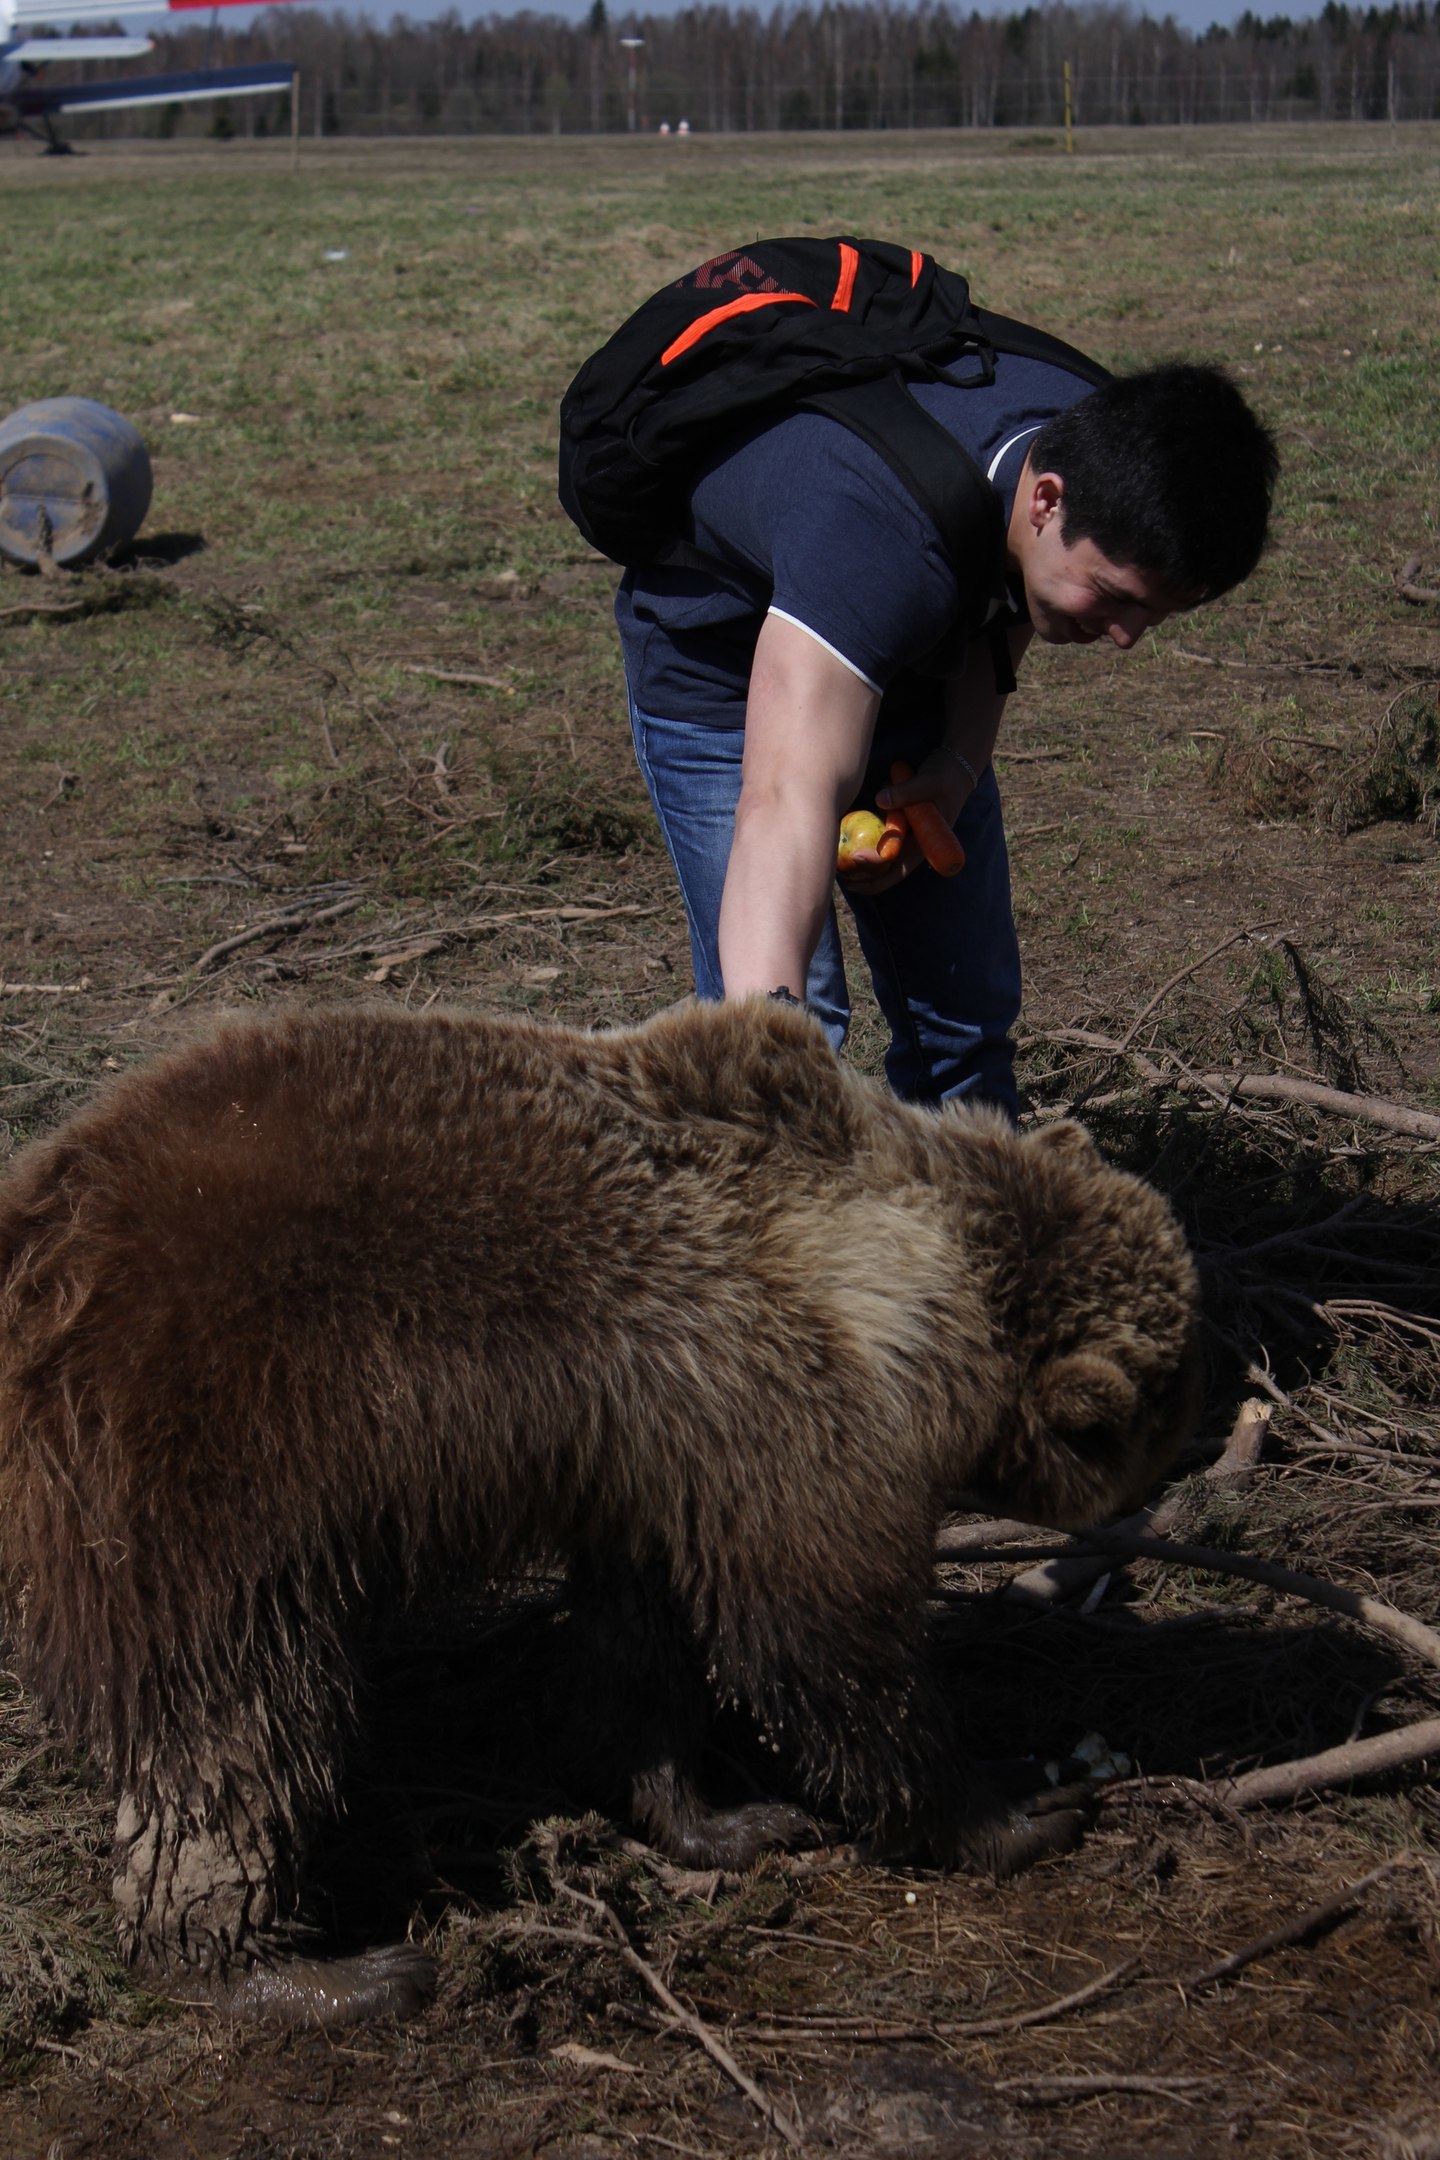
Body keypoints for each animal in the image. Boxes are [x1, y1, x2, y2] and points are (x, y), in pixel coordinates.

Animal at [0, 993, 1200, 2021]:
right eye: (1165, 1408)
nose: (1185, 1458)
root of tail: (37, 1221)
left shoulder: (661, 1444)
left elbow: (647, 1642)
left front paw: (724, 1814)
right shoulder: (790, 1412)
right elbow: (827, 1643)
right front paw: (1012, 1804)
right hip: (203, 1448)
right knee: (236, 1721)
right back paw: (302, 1968)